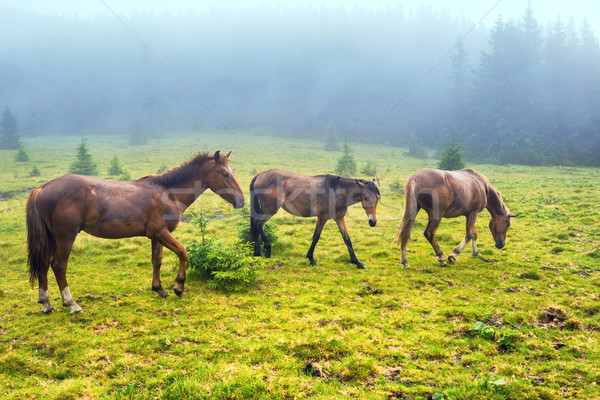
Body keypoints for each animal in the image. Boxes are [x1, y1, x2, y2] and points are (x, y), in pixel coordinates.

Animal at [25, 150, 246, 312]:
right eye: (225, 174)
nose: (242, 201)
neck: (168, 193)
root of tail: (43, 188)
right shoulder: (163, 233)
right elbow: (183, 253)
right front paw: (179, 286)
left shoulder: (156, 236)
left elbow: (157, 261)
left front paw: (159, 289)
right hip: (65, 237)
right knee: (59, 266)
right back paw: (71, 304)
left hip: (51, 238)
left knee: (43, 265)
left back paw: (46, 303)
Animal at [248, 170, 380, 270]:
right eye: (365, 197)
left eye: (378, 198)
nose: (372, 222)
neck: (337, 193)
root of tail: (260, 175)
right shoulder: (323, 217)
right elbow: (316, 236)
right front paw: (311, 258)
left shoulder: (339, 218)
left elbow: (347, 239)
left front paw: (357, 262)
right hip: (270, 209)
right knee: (258, 223)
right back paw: (267, 249)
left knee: (256, 225)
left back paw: (257, 253)